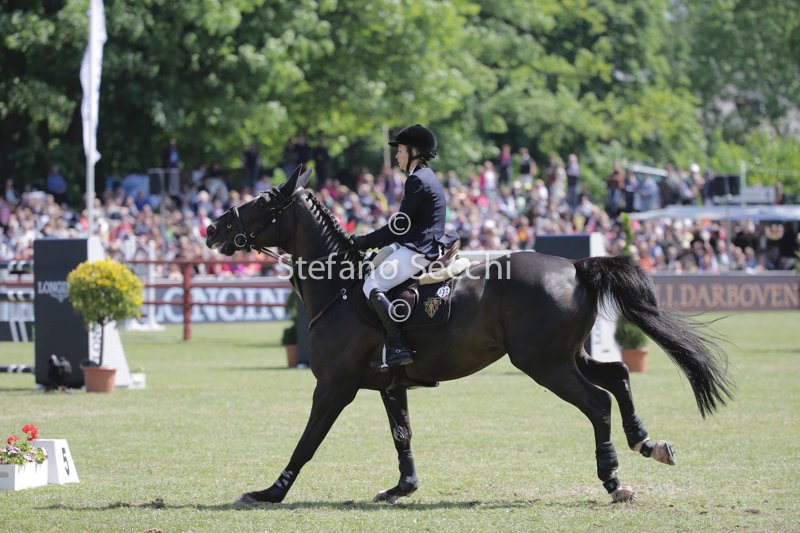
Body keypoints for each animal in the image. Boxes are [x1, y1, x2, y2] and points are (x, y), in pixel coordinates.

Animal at [205, 166, 733, 505]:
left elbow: (307, 441)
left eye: (264, 201)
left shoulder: (334, 386)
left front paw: (271, 492)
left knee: (598, 402)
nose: (212, 228)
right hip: (566, 355)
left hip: (544, 364)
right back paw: (647, 443)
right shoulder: (389, 385)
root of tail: (575, 265)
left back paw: (613, 480)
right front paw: (402, 489)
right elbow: (402, 435)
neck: (340, 286)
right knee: (619, 373)